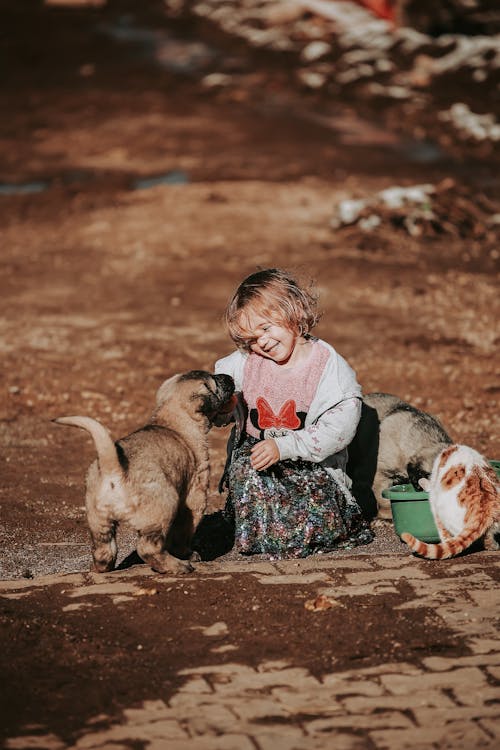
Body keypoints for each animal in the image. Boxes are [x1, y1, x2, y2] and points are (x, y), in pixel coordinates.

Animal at [54, 374, 234, 576]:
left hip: (99, 520)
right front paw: (187, 554)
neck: (172, 419)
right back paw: (177, 566)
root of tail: (114, 469)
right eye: (216, 382)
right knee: (147, 548)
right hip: (165, 505)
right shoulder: (195, 499)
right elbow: (184, 534)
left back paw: (99, 568)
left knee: (104, 551)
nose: (229, 377)